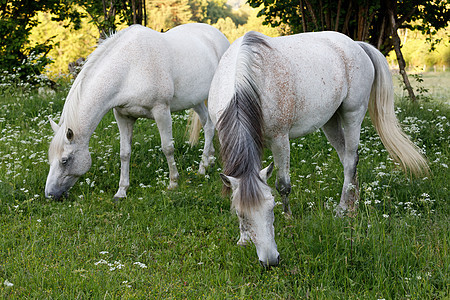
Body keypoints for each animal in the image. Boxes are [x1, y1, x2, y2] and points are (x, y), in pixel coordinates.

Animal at [45, 23, 230, 200]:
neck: (129, 69)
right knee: (207, 125)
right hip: (196, 101)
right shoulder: (123, 116)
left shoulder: (161, 111)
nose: (50, 195)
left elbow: (167, 147)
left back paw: (203, 168)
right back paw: (208, 163)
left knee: (212, 127)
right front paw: (121, 191)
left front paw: (173, 183)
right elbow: (125, 153)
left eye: (64, 160)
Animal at [208, 30, 428, 268]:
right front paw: (243, 238)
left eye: (271, 207)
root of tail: (356, 45)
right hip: (330, 121)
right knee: (347, 159)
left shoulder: (279, 139)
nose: (270, 261)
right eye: (241, 214)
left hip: (353, 114)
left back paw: (343, 210)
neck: (244, 81)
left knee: (351, 161)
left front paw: (289, 219)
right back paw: (354, 202)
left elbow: (283, 185)